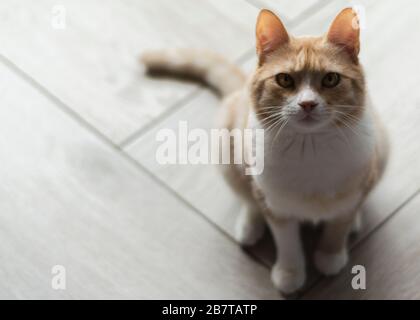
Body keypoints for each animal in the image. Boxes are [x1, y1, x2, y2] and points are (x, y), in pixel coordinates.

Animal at [143, 7, 388, 294]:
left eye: (331, 79)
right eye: (284, 79)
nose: (307, 104)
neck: (310, 148)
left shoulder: (357, 185)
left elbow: (338, 225)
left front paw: (330, 255)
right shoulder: (275, 206)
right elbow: (287, 242)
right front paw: (290, 273)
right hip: (228, 154)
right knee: (248, 198)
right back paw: (249, 227)